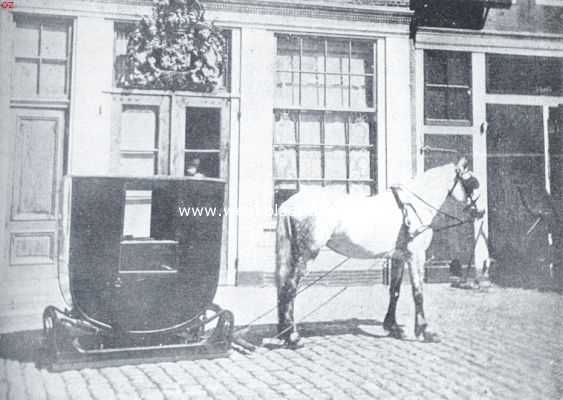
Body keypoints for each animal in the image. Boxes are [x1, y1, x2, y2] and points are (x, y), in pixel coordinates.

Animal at [276, 158, 482, 346]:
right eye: (472, 183)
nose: (480, 212)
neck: (413, 205)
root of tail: (288, 206)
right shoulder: (416, 256)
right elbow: (418, 292)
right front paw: (425, 331)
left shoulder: (398, 257)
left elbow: (395, 291)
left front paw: (392, 327)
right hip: (306, 255)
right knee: (290, 287)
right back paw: (293, 337)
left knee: (283, 285)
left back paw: (284, 334)